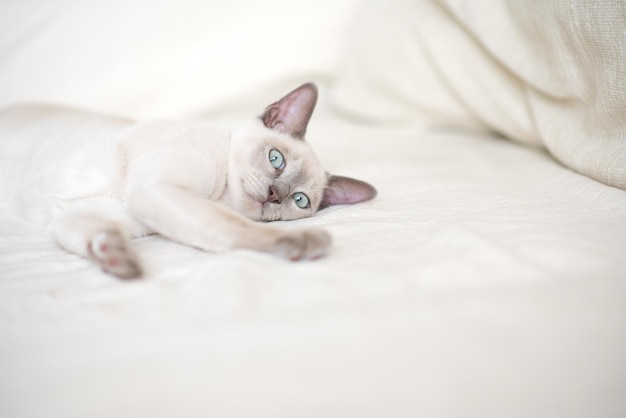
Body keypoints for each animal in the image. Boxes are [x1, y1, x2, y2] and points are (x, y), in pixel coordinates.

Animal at [0, 83, 376, 280]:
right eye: (275, 159)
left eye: (299, 200)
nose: (273, 194)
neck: (220, 194)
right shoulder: (159, 190)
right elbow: (235, 228)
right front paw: (304, 241)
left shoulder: (83, 216)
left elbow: (98, 237)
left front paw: (119, 263)